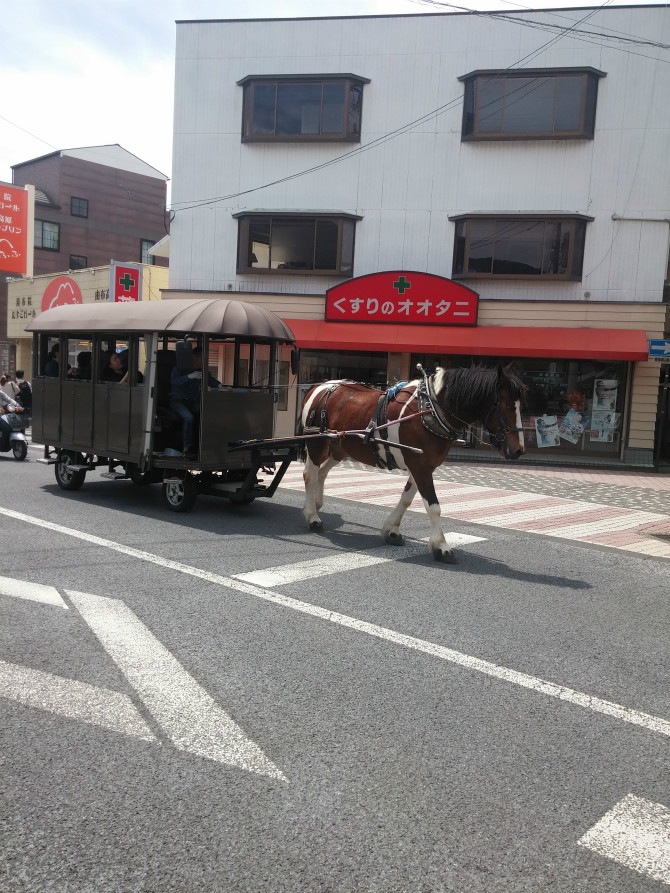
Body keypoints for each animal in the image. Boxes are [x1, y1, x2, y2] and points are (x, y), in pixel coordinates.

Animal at [302, 360, 528, 556]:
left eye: (521, 406)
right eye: (509, 405)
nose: (519, 450)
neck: (430, 410)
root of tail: (319, 387)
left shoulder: (421, 465)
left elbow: (406, 499)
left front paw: (392, 530)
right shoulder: (420, 466)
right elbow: (433, 506)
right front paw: (441, 545)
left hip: (338, 446)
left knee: (321, 473)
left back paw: (315, 504)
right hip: (316, 442)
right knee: (310, 475)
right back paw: (312, 516)